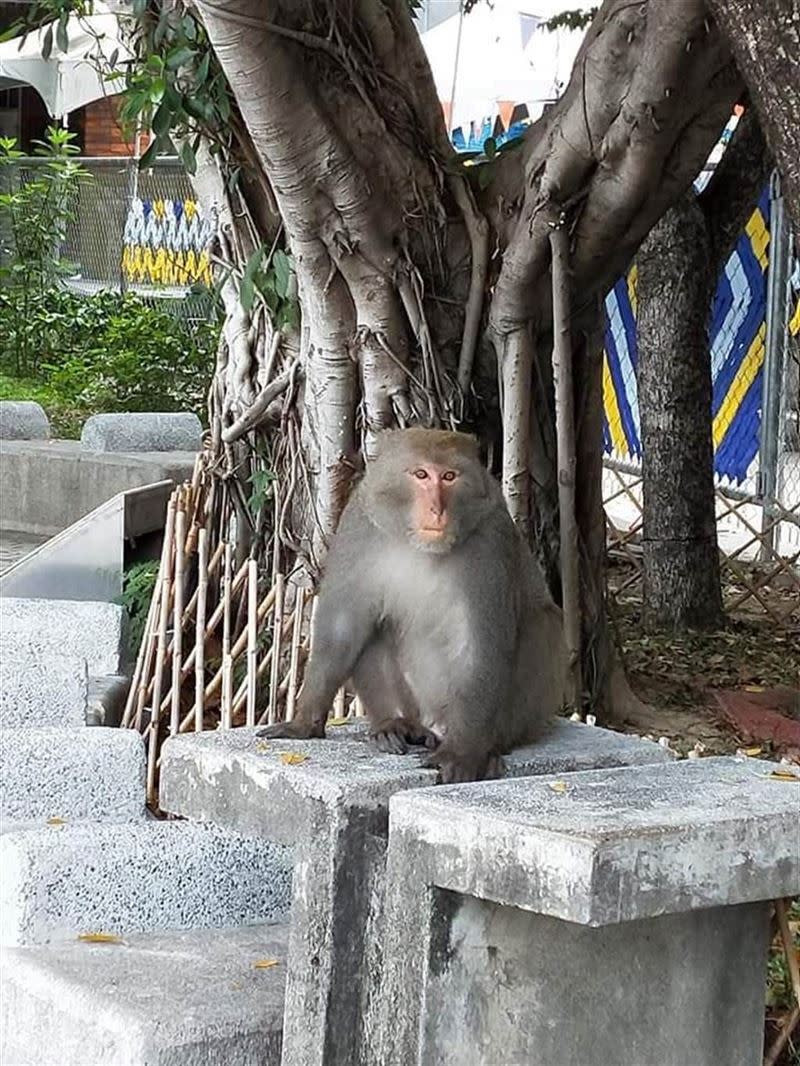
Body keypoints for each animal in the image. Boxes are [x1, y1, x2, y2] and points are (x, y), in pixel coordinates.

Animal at [260, 426, 567, 784]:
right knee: (374, 626)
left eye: (449, 476)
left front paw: (462, 754)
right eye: (421, 474)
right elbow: (345, 626)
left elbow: (480, 644)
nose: (437, 509)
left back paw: (489, 745)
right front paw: (303, 723)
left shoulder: (491, 539)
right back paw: (396, 725)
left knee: (543, 623)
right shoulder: (360, 525)